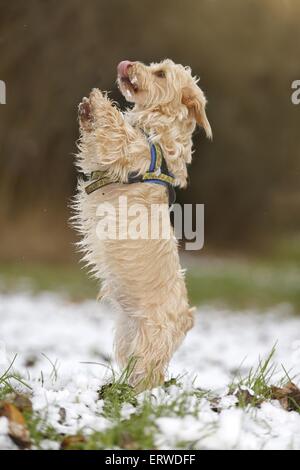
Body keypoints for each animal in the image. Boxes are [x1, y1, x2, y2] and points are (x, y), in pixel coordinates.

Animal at [74, 57, 211, 390]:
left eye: (160, 73)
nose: (127, 63)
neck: (157, 133)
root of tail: (186, 318)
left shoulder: (125, 150)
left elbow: (114, 129)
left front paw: (97, 104)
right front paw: (87, 111)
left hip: (152, 340)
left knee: (149, 374)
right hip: (128, 335)